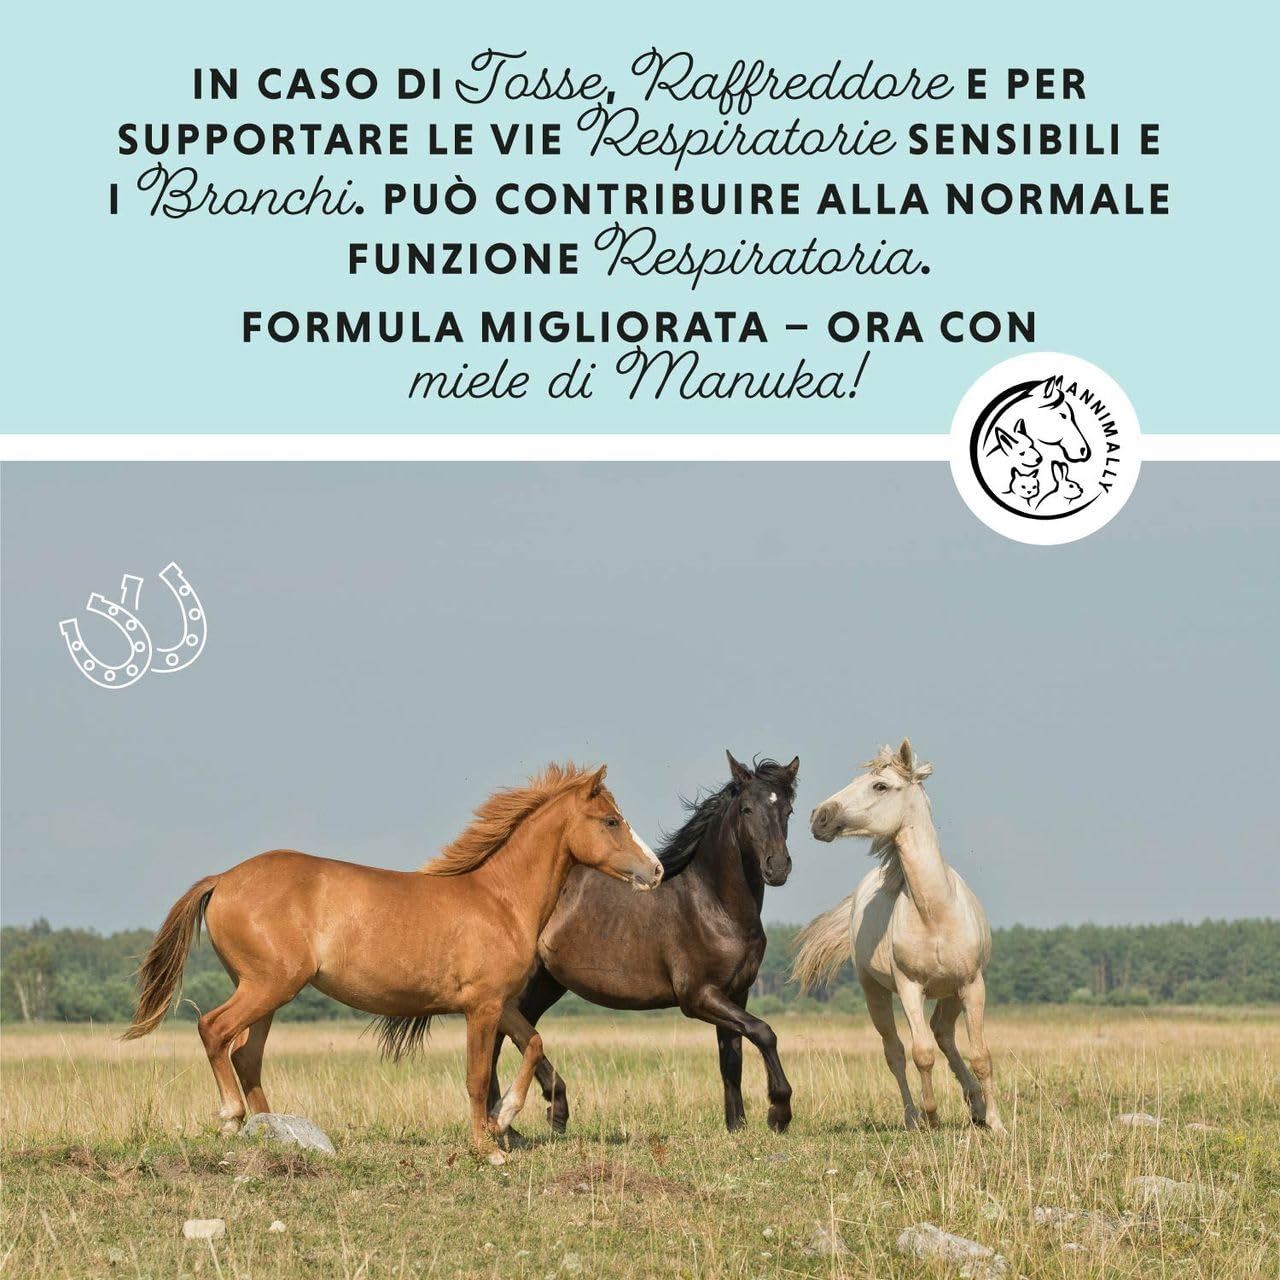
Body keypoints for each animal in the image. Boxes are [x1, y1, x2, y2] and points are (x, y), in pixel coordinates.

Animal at [124, 763, 663, 1158]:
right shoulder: (481, 1008)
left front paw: (505, 1117)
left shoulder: (501, 1004)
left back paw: (274, 1130)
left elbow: (532, 1044)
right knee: (214, 1030)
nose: (655, 870)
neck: (500, 900)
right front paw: (486, 1148)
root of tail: (223, 879)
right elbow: (476, 1077)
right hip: (267, 986)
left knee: (245, 1054)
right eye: (611, 821)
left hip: (268, 993)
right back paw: (232, 1119)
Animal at [482, 753, 800, 1135]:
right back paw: (533, 1113)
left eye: (787, 810)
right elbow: (763, 1032)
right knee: (504, 1032)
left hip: (546, 983)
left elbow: (731, 1059)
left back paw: (515, 1120)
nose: (778, 867)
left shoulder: (736, 993)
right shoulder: (699, 997)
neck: (714, 905)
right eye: (747, 809)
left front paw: (736, 1126)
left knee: (509, 1034)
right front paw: (779, 1112)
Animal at [793, 741, 1004, 1132]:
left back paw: (976, 1106)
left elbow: (981, 1054)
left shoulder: (972, 985)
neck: (935, 913)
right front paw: (932, 1116)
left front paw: (996, 1123)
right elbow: (921, 1054)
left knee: (944, 1034)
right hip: (874, 992)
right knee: (896, 1052)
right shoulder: (909, 988)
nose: (819, 817)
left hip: (951, 992)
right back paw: (913, 1117)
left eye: (880, 786)